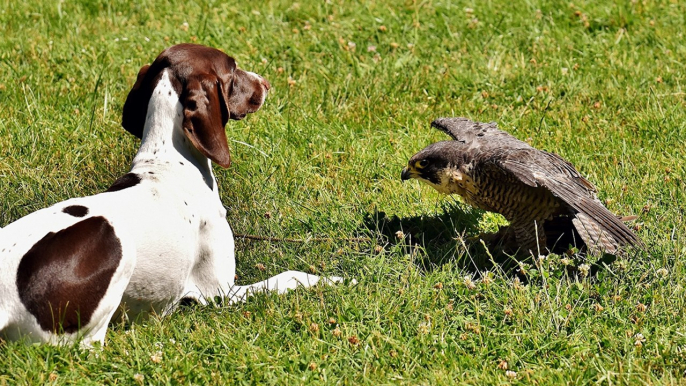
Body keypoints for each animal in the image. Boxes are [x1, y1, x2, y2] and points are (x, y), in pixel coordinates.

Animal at [0, 43, 344, 346]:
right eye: (232, 68)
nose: (266, 83)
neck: (168, 160)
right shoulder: (219, 293)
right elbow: (289, 276)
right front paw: (336, 281)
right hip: (117, 247)